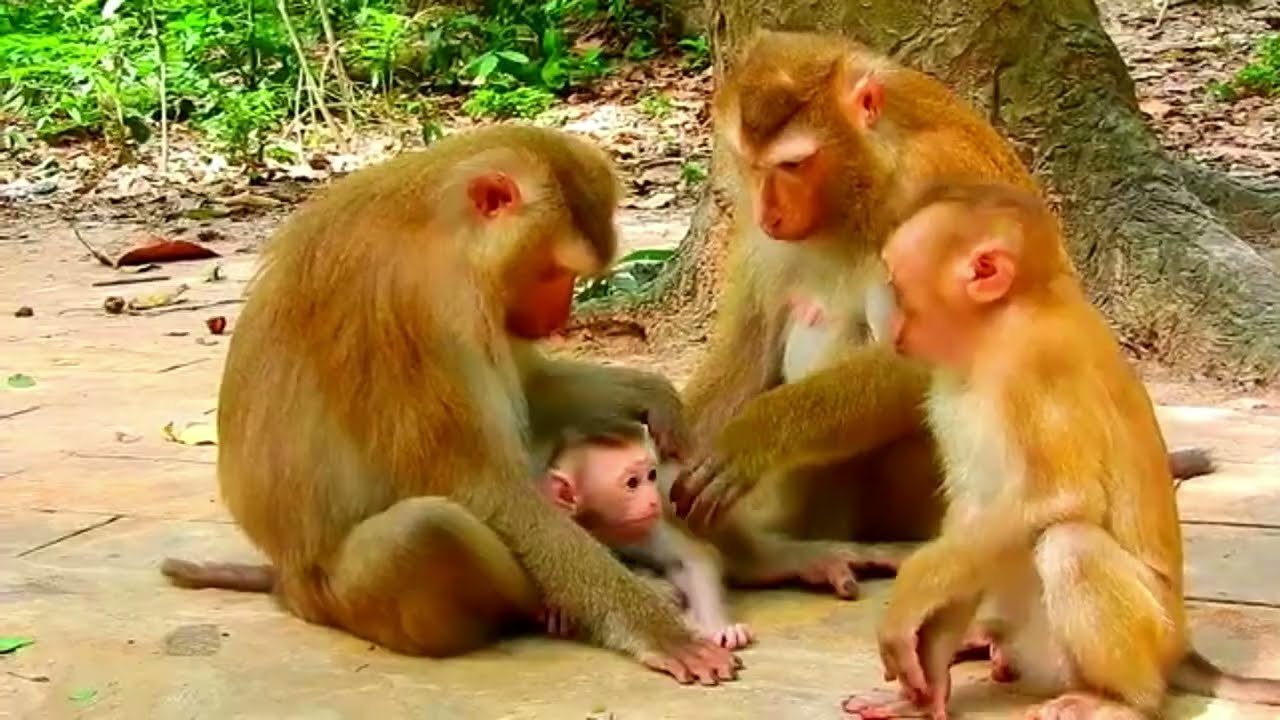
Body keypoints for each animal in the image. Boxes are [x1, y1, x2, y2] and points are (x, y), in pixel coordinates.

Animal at [535, 423, 754, 650]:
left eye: (651, 475)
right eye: (632, 483)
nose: (653, 501)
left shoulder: (648, 529)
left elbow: (696, 557)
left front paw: (718, 626)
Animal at [668, 30, 1213, 602]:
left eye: (793, 164)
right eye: (752, 166)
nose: (771, 214)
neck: (866, 183)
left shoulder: (941, 174)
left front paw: (754, 435)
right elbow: (747, 348)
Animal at [839, 181, 1280, 720]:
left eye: (896, 285)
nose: (886, 321)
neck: (997, 329)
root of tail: (1181, 648)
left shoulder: (1036, 366)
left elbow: (1059, 498)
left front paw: (907, 597)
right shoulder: (950, 386)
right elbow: (975, 512)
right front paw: (928, 675)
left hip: (1149, 632)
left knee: (1069, 543)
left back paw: (1126, 701)